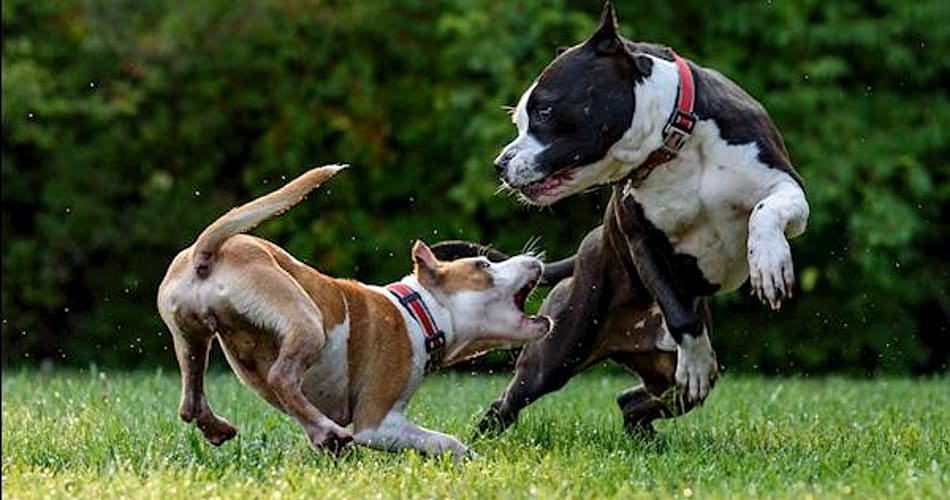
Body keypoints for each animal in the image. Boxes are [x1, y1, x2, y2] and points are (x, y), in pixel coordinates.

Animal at [159, 166, 556, 458]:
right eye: (483, 265)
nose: (534, 258)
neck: (419, 312)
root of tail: (206, 253)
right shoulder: (378, 423)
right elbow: (445, 441)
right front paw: (471, 459)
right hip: (306, 319)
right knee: (281, 376)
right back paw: (327, 431)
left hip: (191, 337)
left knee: (191, 401)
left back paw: (225, 428)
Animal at [434, 2, 812, 434]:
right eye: (520, 121)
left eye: (544, 110)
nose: (500, 163)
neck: (674, 142)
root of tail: (585, 248)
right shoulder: (641, 241)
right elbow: (679, 313)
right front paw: (697, 359)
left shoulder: (786, 186)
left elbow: (766, 212)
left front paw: (769, 264)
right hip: (557, 351)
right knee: (510, 400)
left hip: (663, 377)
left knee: (634, 400)